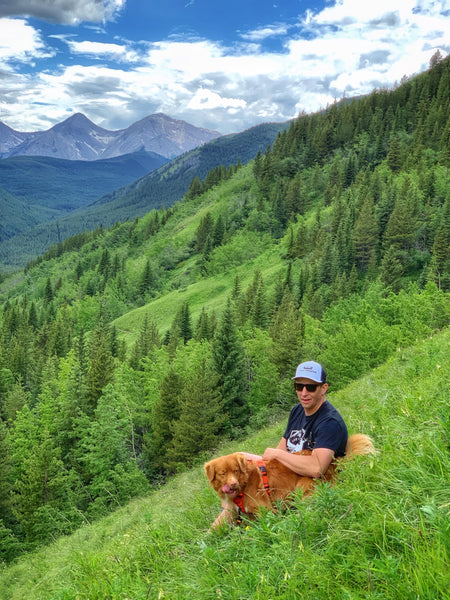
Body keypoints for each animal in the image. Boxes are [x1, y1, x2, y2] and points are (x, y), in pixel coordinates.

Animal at [206, 434, 374, 516]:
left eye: (235, 470)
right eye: (222, 473)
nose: (233, 484)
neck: (244, 483)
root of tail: (334, 462)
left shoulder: (265, 510)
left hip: (301, 488)